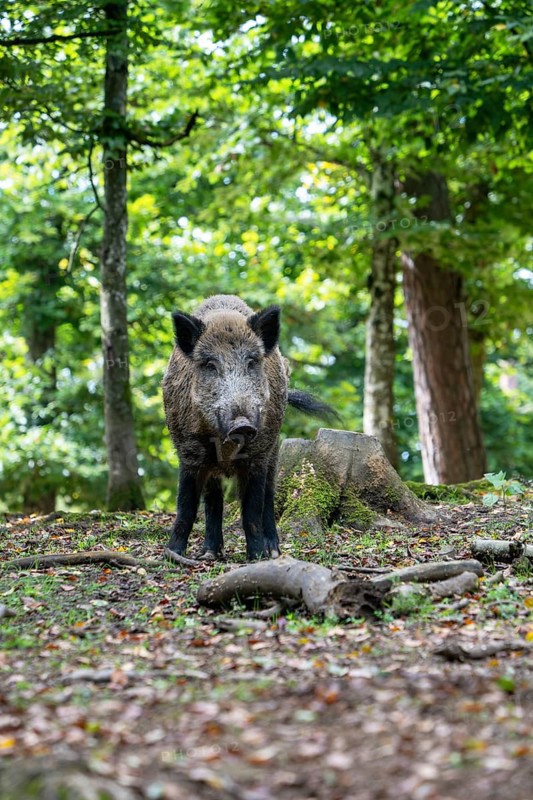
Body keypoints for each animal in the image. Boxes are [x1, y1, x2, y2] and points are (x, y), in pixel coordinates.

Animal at [162, 294, 336, 561]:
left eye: (252, 362)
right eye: (210, 365)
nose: (242, 424)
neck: (224, 444)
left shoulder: (259, 452)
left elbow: (252, 510)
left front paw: (258, 557)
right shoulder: (188, 451)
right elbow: (186, 507)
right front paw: (173, 555)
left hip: (274, 450)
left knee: (269, 496)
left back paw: (273, 551)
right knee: (214, 499)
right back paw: (209, 553)